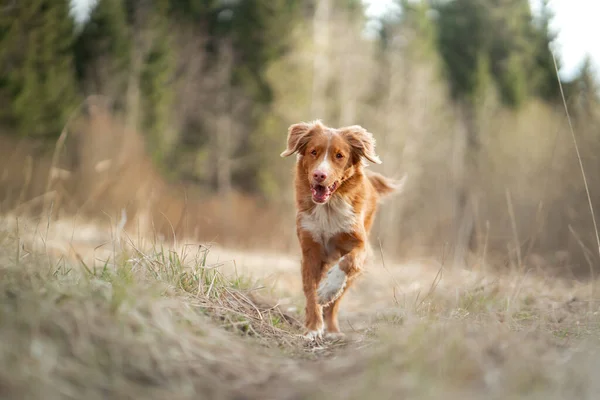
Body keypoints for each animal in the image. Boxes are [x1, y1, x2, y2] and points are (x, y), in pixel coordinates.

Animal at [278, 120, 400, 340]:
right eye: (313, 152)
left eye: (339, 155)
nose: (319, 175)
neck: (328, 208)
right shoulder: (310, 251)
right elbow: (311, 293)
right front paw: (313, 328)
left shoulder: (361, 245)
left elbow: (347, 262)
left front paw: (328, 290)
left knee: (336, 302)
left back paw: (333, 329)